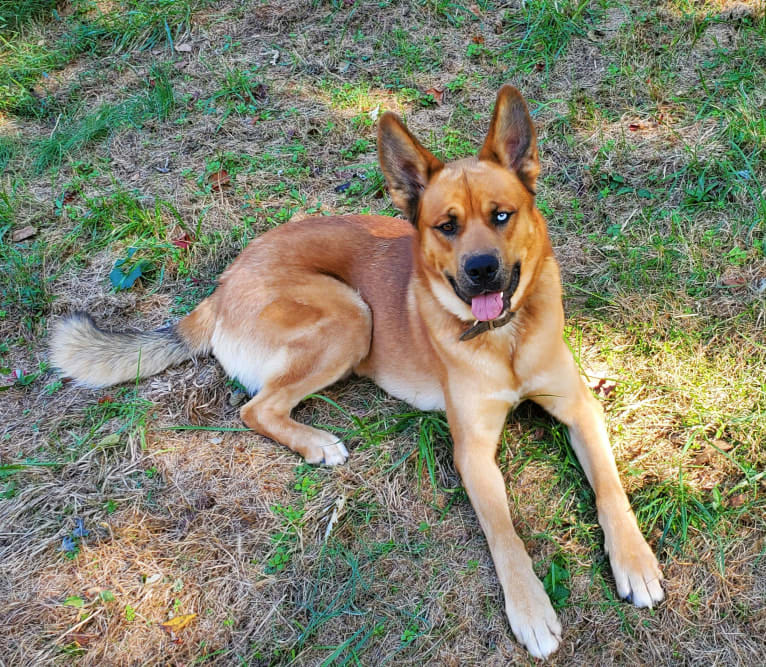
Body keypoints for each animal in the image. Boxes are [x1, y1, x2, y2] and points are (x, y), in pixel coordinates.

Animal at [52, 86, 664, 660]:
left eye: (501, 215)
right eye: (446, 226)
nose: (482, 271)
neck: (504, 337)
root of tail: (222, 286)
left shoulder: (579, 411)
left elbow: (610, 488)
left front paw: (635, 562)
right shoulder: (472, 452)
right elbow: (505, 533)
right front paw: (530, 609)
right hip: (351, 315)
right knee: (257, 407)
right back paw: (317, 443)